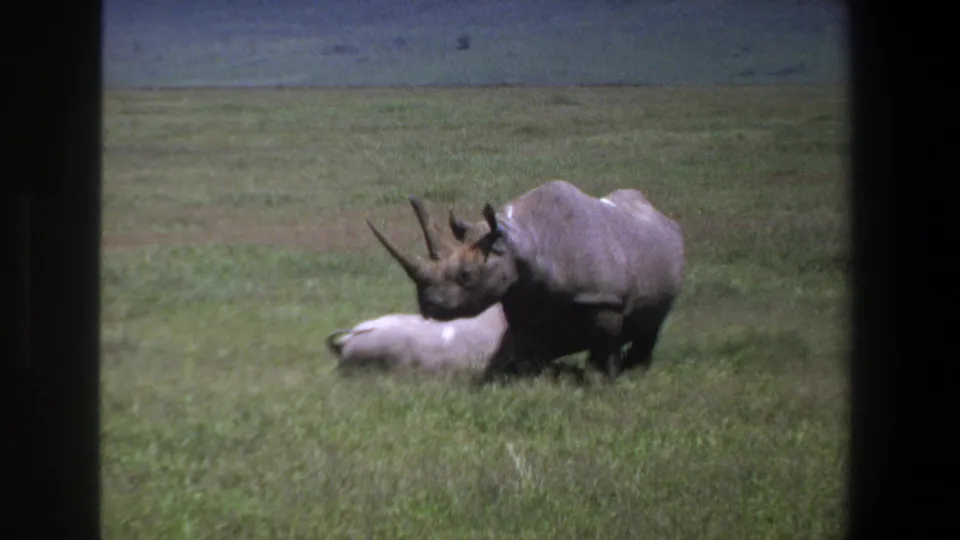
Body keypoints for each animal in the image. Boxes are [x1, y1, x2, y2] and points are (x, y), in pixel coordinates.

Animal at [366, 180, 685, 382]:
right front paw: (530, 380)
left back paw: (636, 369)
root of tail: (658, 213)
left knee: (654, 321)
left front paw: (603, 381)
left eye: (467, 276)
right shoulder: (521, 298)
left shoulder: (603, 298)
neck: (521, 242)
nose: (428, 306)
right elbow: (526, 347)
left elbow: (605, 345)